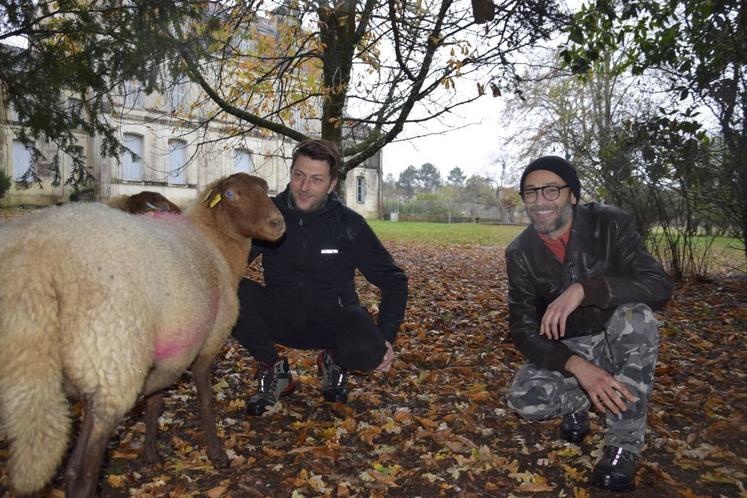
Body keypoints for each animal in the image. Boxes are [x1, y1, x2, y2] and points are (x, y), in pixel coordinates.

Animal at [0, 172, 284, 498]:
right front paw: (217, 454)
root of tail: (35, 265)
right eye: (231, 194)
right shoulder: (209, 342)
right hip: (112, 365)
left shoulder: (170, 352)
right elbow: (205, 399)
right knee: (79, 473)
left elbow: (154, 403)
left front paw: (151, 454)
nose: (278, 223)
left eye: (264, 189)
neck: (216, 245)